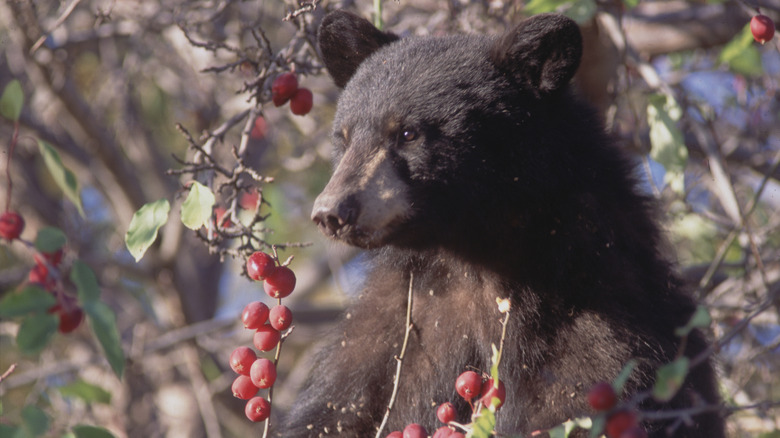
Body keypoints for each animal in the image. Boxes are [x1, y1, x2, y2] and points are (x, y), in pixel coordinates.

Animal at [278, 10, 724, 438]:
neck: (475, 264)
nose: (332, 211)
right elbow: (336, 413)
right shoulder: (386, 341)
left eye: (407, 132)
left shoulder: (607, 341)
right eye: (344, 137)